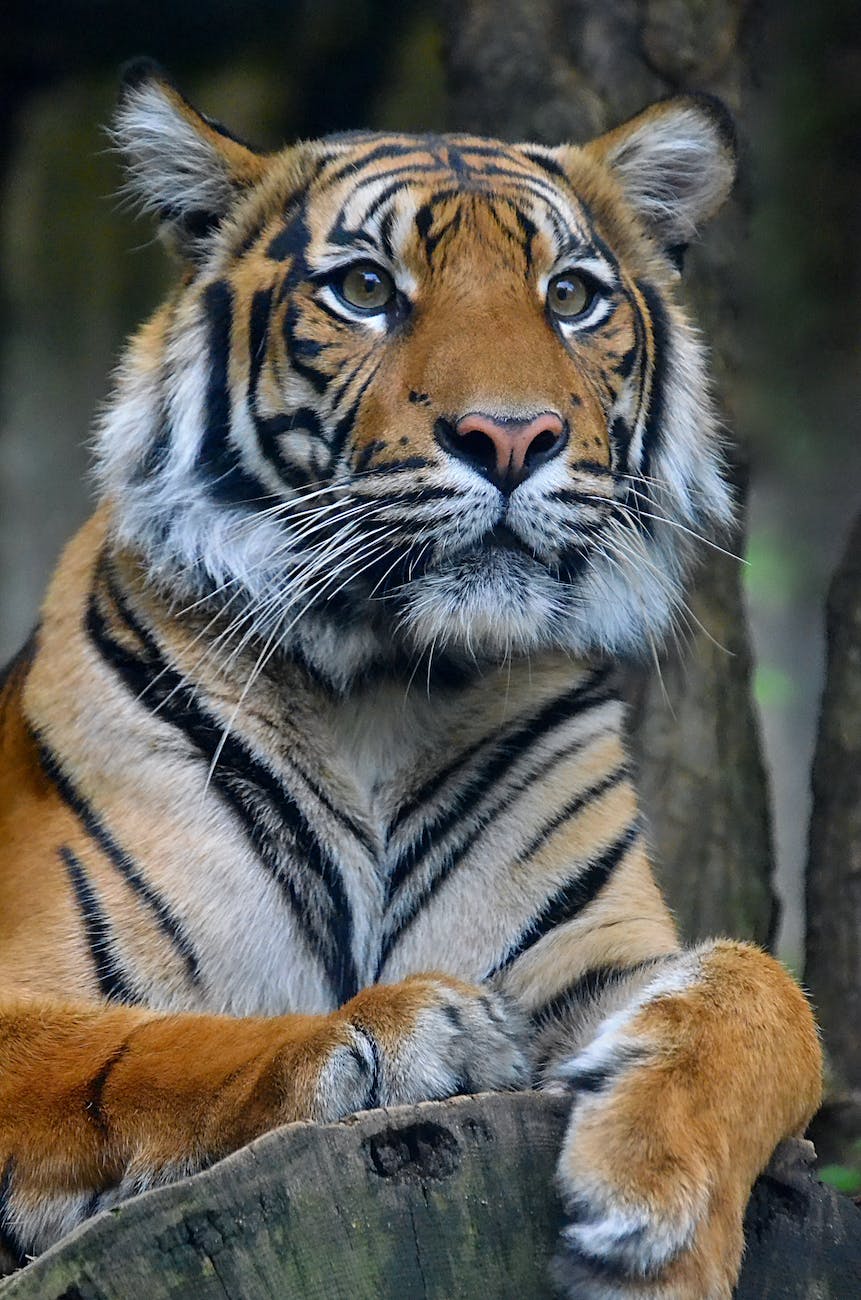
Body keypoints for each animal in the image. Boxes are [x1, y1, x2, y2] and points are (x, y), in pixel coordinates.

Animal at [0, 59, 821, 1299]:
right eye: (365, 289)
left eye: (571, 295)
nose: (512, 435)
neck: (384, 688)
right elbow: (144, 1045)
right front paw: (404, 1036)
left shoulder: (598, 955)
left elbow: (769, 996)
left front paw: (659, 1208)